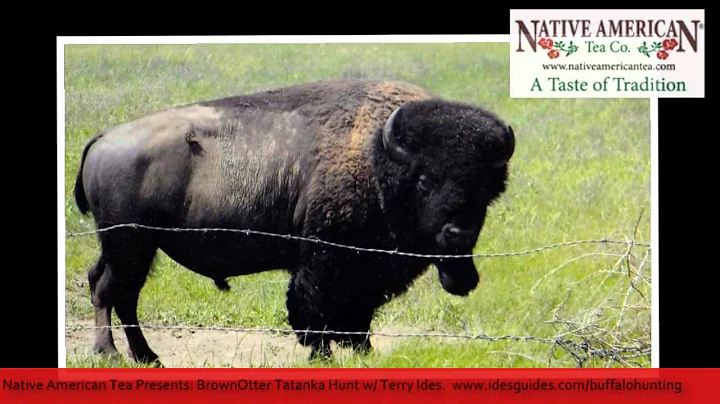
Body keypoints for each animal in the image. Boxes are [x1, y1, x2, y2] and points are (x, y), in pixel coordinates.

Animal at [73, 79, 515, 366]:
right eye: (425, 180)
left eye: (485, 187)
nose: (457, 234)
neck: (378, 158)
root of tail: (104, 137)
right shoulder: (325, 260)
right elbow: (313, 307)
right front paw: (323, 356)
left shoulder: (362, 273)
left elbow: (358, 315)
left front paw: (363, 353)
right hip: (129, 244)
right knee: (108, 290)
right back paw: (111, 354)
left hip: (138, 248)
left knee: (120, 293)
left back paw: (148, 357)